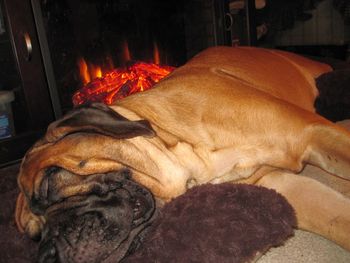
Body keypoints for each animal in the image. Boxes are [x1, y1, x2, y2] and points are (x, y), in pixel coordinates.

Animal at [15, 46, 350, 262]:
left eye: (49, 182)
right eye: (34, 237)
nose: (48, 256)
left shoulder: (313, 132)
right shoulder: (284, 187)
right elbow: (338, 218)